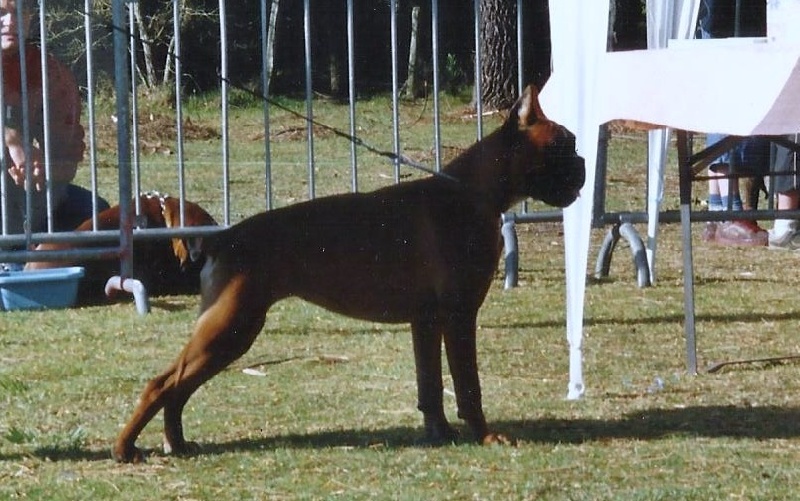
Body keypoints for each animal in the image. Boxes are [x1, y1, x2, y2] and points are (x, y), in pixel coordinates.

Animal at [112, 85, 585, 463]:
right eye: (564, 143)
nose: (583, 162)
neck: (474, 193)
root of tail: (223, 237)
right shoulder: (458, 316)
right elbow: (468, 385)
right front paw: (484, 435)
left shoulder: (426, 323)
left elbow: (430, 386)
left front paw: (439, 433)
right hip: (230, 328)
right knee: (162, 384)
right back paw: (124, 448)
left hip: (226, 332)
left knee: (178, 387)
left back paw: (177, 442)